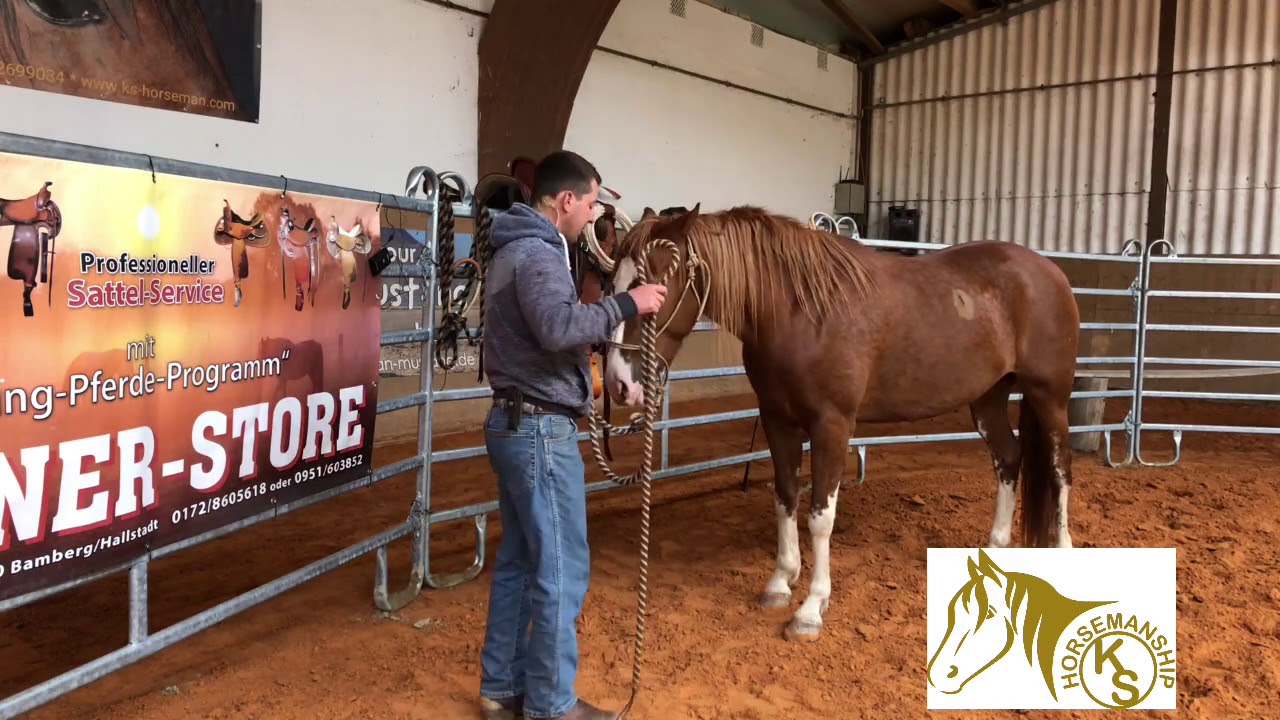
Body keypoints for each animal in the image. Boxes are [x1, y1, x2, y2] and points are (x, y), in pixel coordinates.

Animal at [602, 204, 1082, 643]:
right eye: (613, 284)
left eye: (654, 286)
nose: (618, 384)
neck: (800, 312)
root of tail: (1050, 272)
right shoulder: (777, 420)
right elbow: (784, 499)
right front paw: (781, 582)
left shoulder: (831, 426)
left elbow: (820, 517)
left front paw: (811, 609)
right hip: (988, 399)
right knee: (1009, 458)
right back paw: (995, 548)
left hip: (1050, 397)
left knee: (1059, 471)